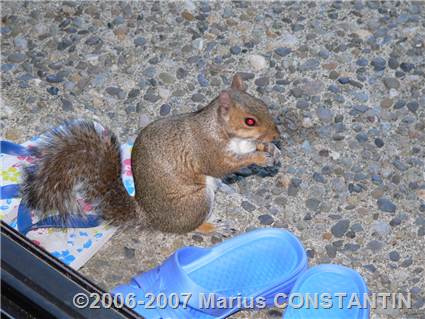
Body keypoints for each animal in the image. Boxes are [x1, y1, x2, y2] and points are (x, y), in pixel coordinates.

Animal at [22, 75, 282, 235]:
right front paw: (259, 158)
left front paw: (271, 150)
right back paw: (212, 227)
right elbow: (221, 166)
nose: (277, 135)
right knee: (190, 226)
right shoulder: (207, 149)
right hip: (196, 202)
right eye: (249, 121)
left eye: (263, 104)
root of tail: (149, 218)